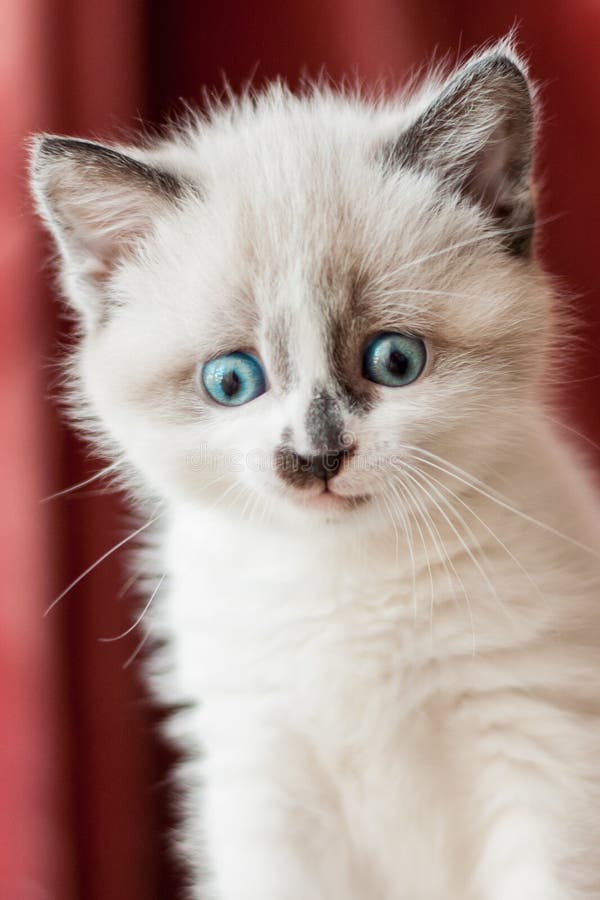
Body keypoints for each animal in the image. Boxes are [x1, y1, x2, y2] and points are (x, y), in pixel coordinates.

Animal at [30, 40, 600, 900]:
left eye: (394, 362)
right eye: (231, 381)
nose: (315, 456)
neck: (343, 580)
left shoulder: (542, 745)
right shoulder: (264, 779)